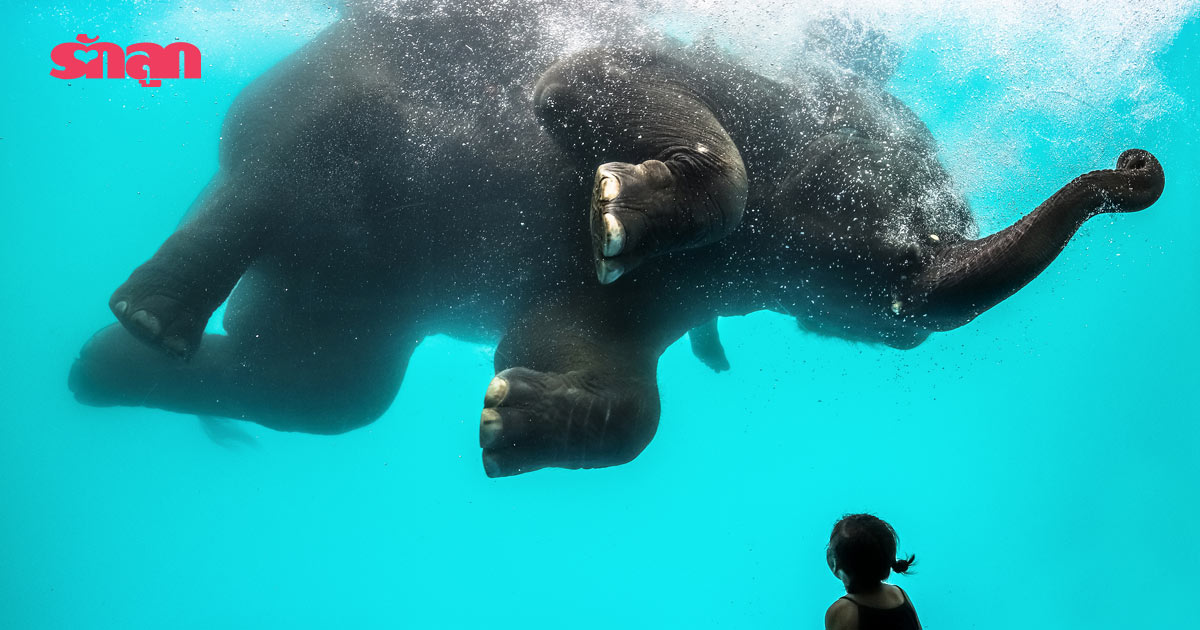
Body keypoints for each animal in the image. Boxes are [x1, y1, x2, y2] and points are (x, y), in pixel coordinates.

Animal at [65, 2, 1161, 477]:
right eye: (920, 198)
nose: (1136, 168)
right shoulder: (689, 76)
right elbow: (583, 80)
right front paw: (623, 200)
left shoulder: (687, 294)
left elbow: (591, 348)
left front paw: (505, 420)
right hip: (331, 109)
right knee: (268, 195)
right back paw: (150, 315)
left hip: (344, 303)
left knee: (325, 389)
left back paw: (104, 363)